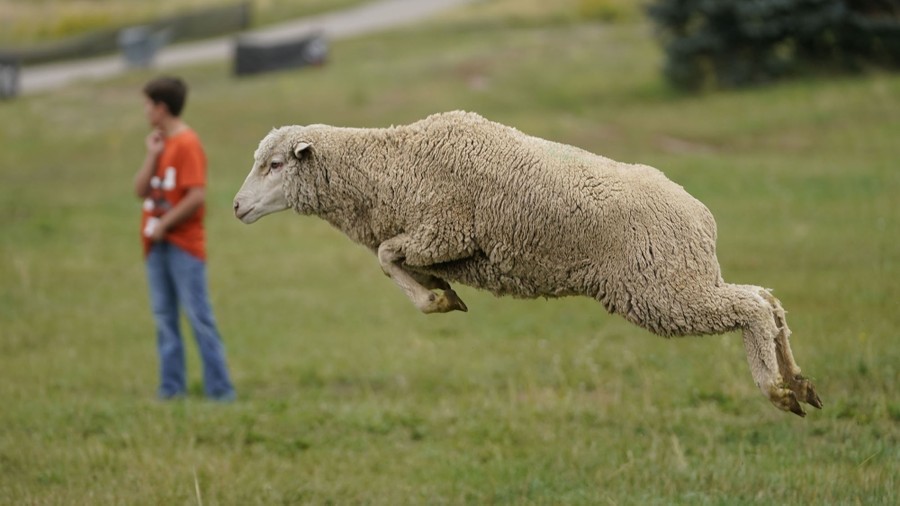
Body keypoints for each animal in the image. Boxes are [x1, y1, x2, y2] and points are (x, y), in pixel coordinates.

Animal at [233, 110, 822, 416]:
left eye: (275, 164)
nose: (236, 207)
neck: (387, 167)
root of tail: (701, 216)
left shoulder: (443, 231)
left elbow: (385, 257)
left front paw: (435, 296)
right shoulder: (432, 237)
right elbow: (391, 259)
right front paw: (441, 291)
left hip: (661, 290)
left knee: (752, 308)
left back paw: (776, 390)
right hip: (683, 279)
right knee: (768, 301)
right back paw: (799, 383)